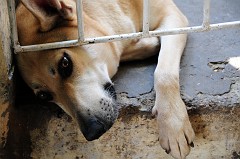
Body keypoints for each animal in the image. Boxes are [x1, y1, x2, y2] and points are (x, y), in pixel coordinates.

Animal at [15, 0, 195, 158]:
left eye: (65, 63)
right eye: (44, 96)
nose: (93, 132)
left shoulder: (173, 17)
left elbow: (164, 73)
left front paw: (172, 124)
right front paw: (145, 44)